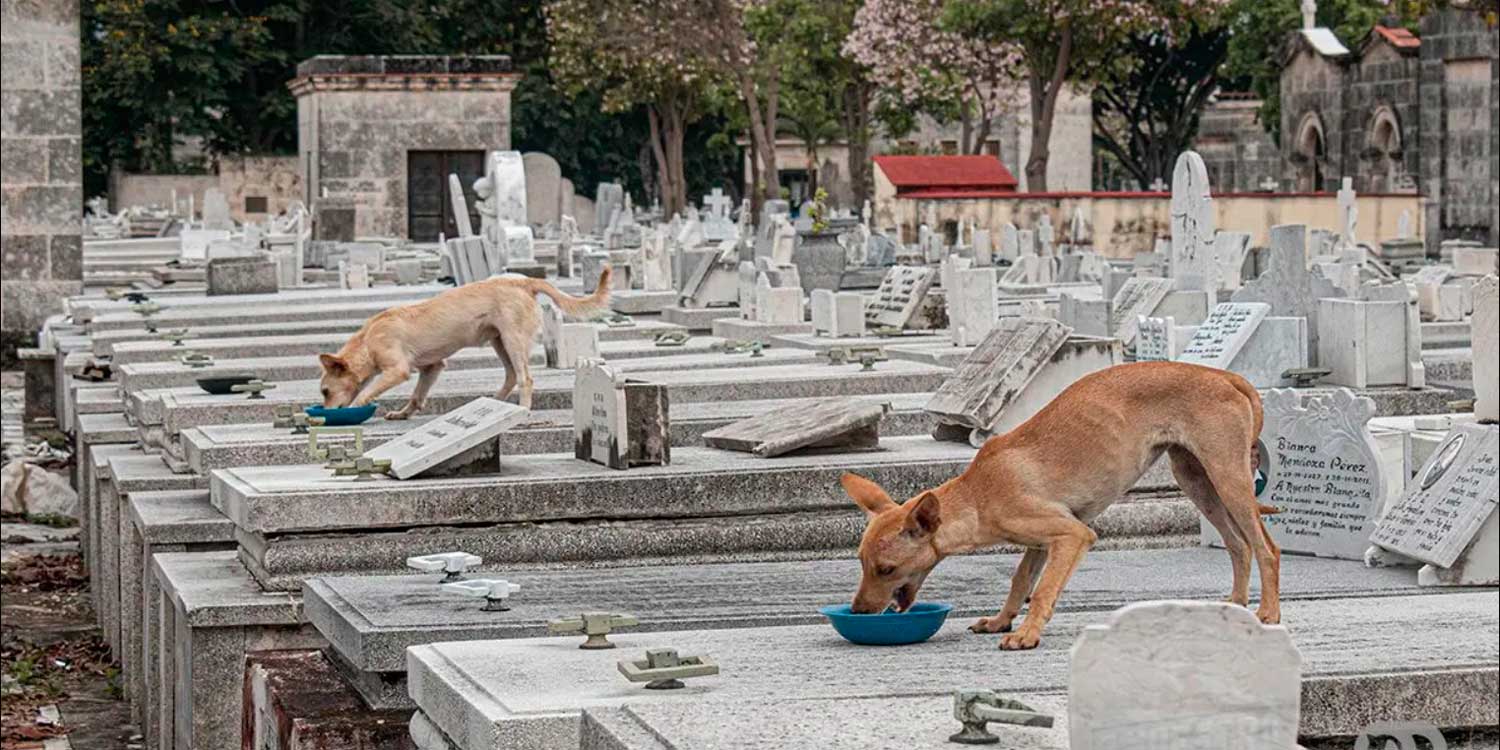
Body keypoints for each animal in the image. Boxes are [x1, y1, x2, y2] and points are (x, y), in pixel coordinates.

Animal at [319, 270, 612, 420]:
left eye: (324, 391)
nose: (323, 414)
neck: (368, 340)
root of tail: (523, 280)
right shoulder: (432, 367)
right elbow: (416, 396)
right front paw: (404, 414)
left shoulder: (397, 371)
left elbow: (367, 393)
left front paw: (357, 407)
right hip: (499, 342)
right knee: (510, 376)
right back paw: (496, 405)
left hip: (513, 341)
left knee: (524, 379)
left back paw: (523, 410)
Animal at [846, 361, 1278, 651]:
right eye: (862, 564)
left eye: (886, 569)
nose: (860, 612)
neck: (978, 494)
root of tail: (1221, 375)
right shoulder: (1041, 544)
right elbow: (1021, 582)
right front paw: (1002, 621)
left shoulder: (1072, 534)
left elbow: (1042, 591)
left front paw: (1026, 634)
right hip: (1196, 481)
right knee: (1239, 546)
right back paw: (1236, 606)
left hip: (1227, 478)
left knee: (1266, 548)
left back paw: (1268, 614)